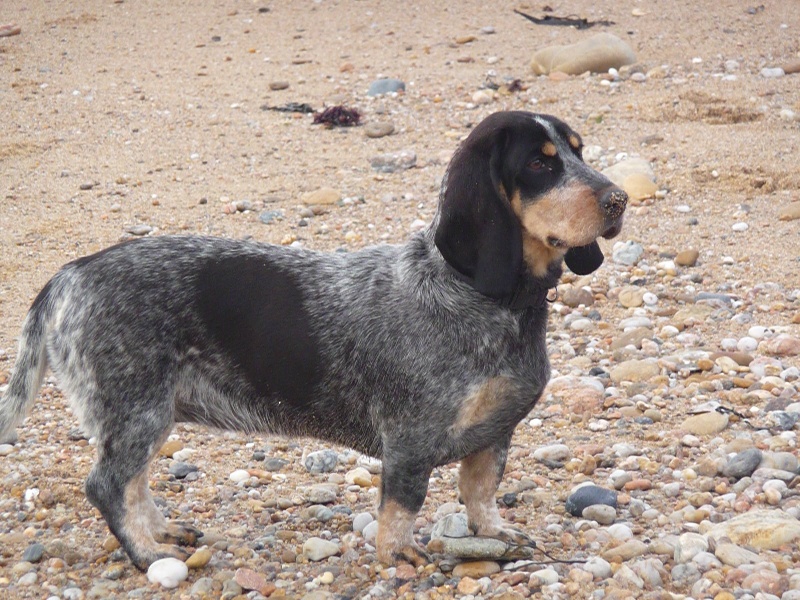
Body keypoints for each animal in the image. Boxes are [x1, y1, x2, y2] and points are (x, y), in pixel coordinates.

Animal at [0, 111, 624, 572]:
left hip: (145, 415)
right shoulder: (411, 439)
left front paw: (496, 533)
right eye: (539, 164)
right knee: (107, 485)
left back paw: (161, 533)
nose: (619, 199)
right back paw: (147, 555)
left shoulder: (495, 433)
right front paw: (397, 554)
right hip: (137, 411)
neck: (493, 300)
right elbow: (403, 504)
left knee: (133, 484)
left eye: (578, 152)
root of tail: (68, 276)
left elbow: (481, 492)